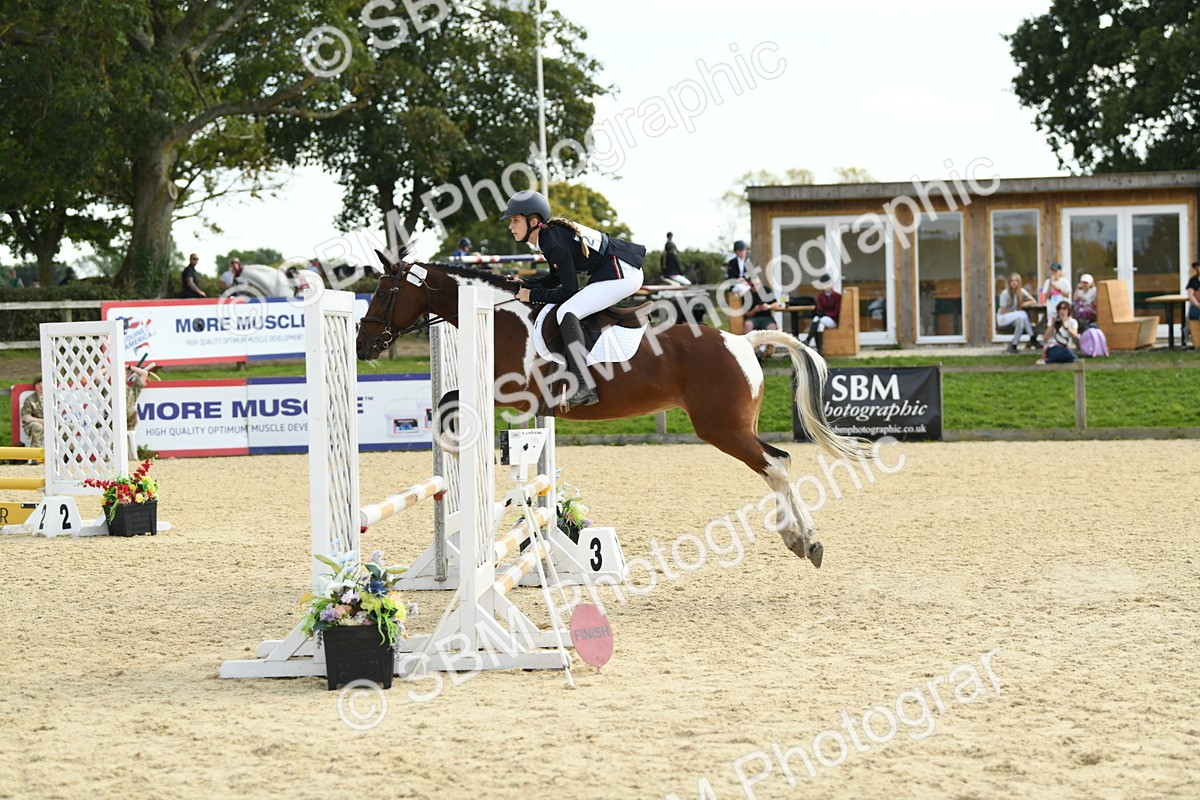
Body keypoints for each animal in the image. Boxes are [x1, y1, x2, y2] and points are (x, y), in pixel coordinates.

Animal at [355, 252, 864, 568]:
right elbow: (446, 407)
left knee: (776, 465)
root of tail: (743, 340)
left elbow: (448, 411)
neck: (498, 319)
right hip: (736, 425)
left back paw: (805, 540)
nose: (362, 345)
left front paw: (458, 450)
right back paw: (800, 538)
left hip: (721, 429)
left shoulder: (514, 395)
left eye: (381, 294)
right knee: (777, 463)